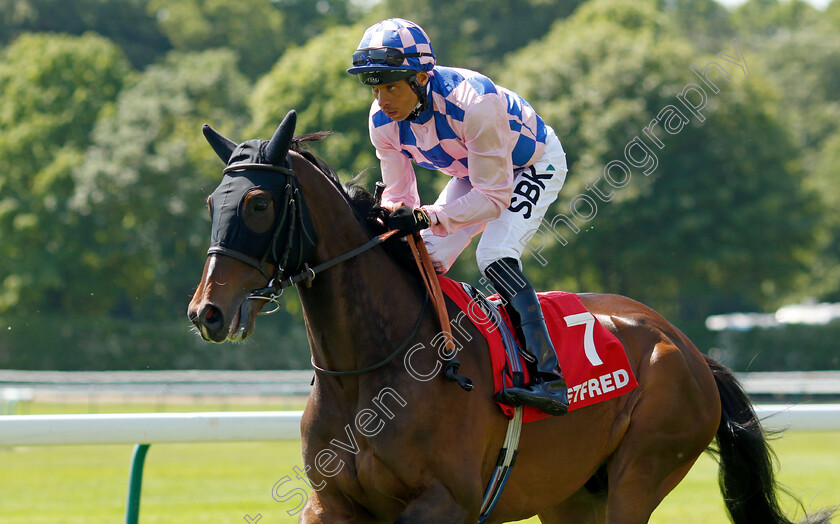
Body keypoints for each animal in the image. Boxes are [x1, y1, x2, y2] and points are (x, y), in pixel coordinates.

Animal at [187, 112, 832, 520]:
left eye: (259, 203)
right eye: (212, 202)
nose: (207, 312)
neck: (372, 372)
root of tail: (691, 350)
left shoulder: (444, 502)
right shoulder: (332, 504)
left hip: (642, 470)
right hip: (573, 497)